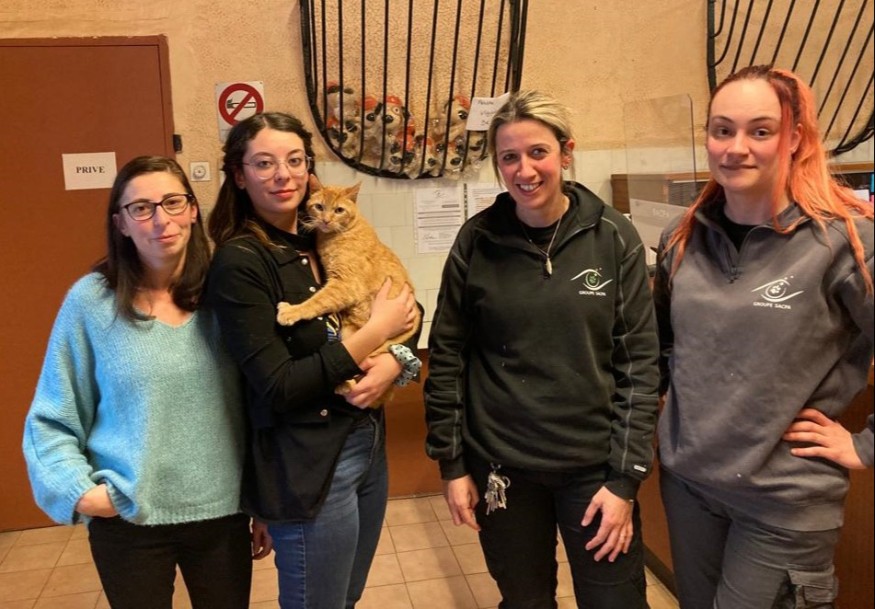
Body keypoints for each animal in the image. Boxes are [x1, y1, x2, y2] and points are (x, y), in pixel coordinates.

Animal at [276, 175, 421, 405]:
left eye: (339, 210)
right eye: (319, 207)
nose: (325, 220)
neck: (336, 235)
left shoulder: (345, 284)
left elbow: (316, 301)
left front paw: (291, 311)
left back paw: (344, 385)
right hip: (348, 333)